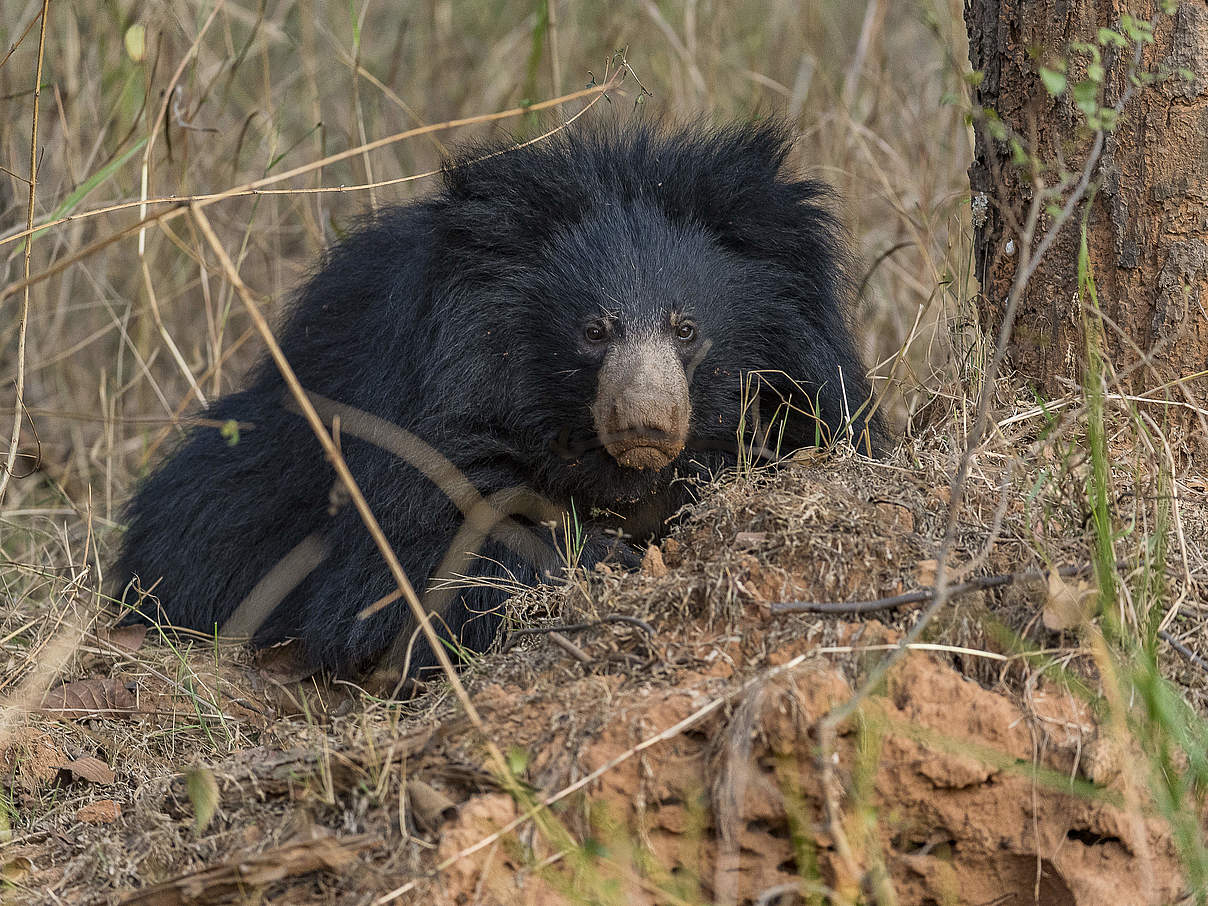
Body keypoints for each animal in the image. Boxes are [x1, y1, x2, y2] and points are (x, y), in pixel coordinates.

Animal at [117, 120, 884, 686]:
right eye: (593, 331)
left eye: (686, 328)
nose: (646, 423)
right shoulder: (424, 412)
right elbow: (410, 564)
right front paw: (604, 559)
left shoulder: (807, 377)